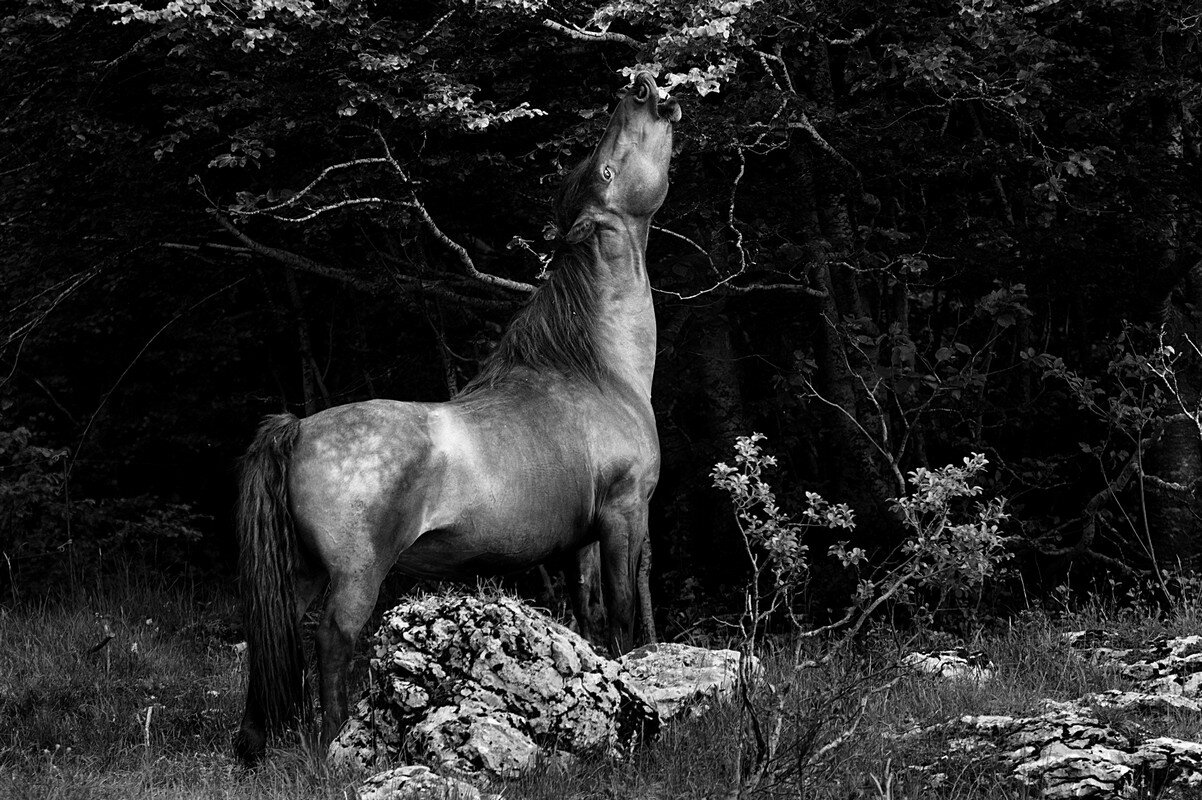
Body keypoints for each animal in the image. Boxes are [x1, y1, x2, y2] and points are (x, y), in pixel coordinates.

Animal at [230, 71, 682, 763]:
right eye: (605, 167)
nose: (640, 84)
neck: (597, 371)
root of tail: (300, 429)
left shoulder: (581, 540)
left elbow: (590, 615)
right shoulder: (623, 515)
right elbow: (626, 616)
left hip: (299, 571)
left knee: (277, 635)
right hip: (356, 575)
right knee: (333, 638)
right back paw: (334, 742)